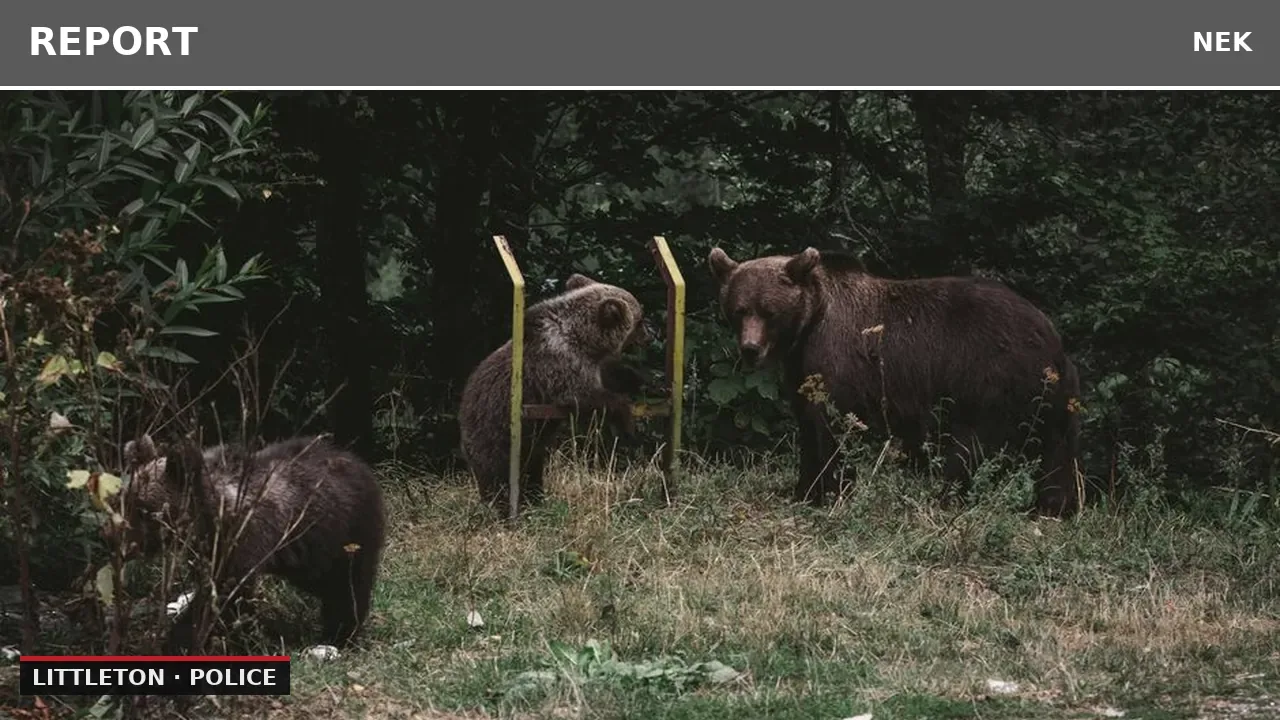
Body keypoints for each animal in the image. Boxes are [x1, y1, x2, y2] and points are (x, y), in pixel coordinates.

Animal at [120, 433, 386, 653]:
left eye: (144, 510)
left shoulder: (242, 540)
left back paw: (340, 634)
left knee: (347, 586)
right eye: (126, 501)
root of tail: (359, 464)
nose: (124, 545)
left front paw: (182, 640)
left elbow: (226, 596)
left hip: (344, 532)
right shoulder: (206, 550)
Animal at [459, 273, 650, 514]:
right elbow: (582, 396)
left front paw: (643, 380)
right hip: (493, 433)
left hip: (530, 447)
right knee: (497, 476)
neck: (585, 340)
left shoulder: (592, 365)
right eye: (639, 319)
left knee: (532, 471)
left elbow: (612, 376)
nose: (651, 333)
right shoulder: (558, 363)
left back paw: (535, 499)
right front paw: (626, 420)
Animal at [707, 246, 1083, 517]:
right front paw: (803, 490)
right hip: (1051, 397)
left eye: (769, 311)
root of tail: (1052, 337)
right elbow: (808, 425)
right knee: (1057, 450)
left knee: (969, 446)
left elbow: (831, 426)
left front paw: (829, 492)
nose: (750, 349)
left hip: (991, 377)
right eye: (739, 309)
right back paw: (1054, 507)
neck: (809, 324)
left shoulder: (835, 358)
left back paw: (944, 499)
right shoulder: (800, 369)